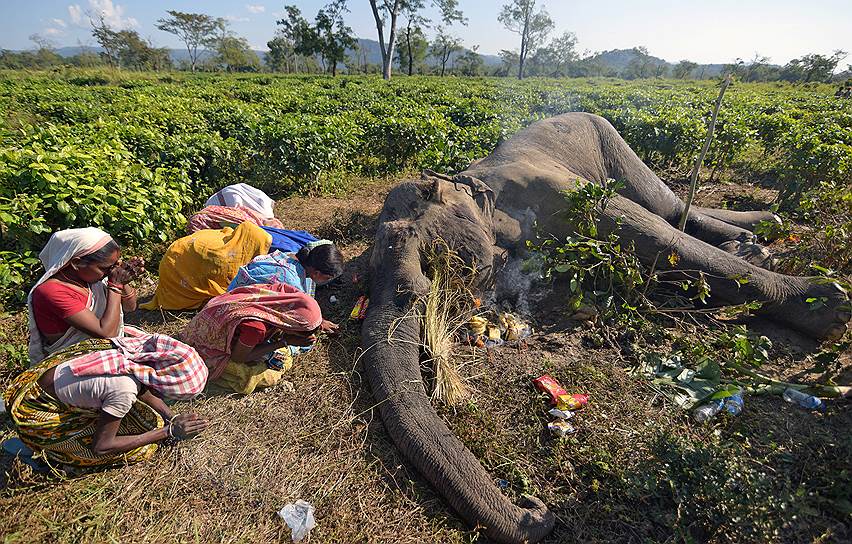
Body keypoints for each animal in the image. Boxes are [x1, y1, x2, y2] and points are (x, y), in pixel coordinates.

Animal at [362, 111, 852, 544]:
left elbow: (653, 236)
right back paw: (753, 242)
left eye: (428, 269)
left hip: (612, 141)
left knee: (668, 208)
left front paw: (830, 308)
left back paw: (768, 233)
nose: (532, 504)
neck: (467, 183)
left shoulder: (557, 191)